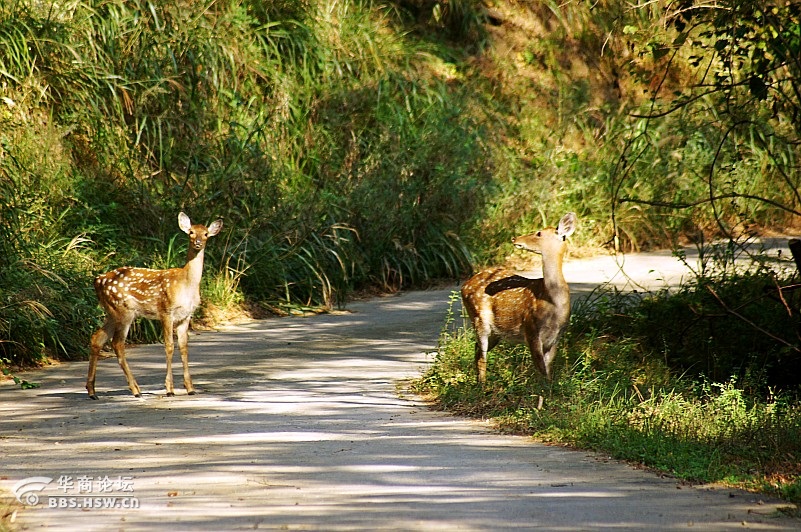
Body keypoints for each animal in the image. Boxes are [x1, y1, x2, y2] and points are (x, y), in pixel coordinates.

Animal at [86, 212, 222, 400]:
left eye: (206, 234)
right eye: (191, 232)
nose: (198, 243)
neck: (187, 284)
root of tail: (97, 281)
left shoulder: (186, 315)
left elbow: (184, 347)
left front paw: (190, 388)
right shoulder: (166, 310)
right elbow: (169, 346)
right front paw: (170, 389)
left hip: (112, 312)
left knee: (97, 338)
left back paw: (92, 391)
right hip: (123, 310)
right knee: (117, 343)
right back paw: (135, 390)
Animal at [460, 214, 580, 384]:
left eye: (539, 233)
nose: (514, 238)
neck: (553, 304)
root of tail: (464, 286)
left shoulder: (556, 337)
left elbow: (548, 369)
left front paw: (549, 388)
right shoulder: (531, 329)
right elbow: (541, 369)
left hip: (496, 332)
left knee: (477, 351)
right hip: (478, 318)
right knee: (481, 354)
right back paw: (482, 386)